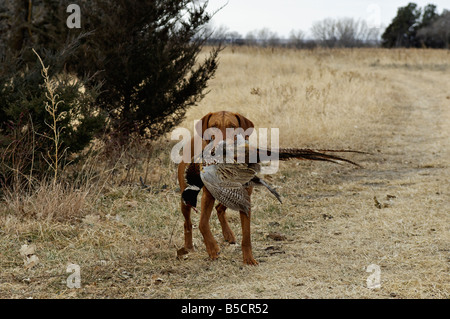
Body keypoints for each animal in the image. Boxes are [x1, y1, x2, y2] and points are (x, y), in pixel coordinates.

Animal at [178, 111, 258, 266]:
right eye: (213, 126)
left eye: (232, 126)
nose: (221, 148)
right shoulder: (208, 195)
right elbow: (203, 223)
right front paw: (212, 248)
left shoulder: (244, 197)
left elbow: (246, 234)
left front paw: (248, 258)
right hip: (186, 197)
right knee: (187, 223)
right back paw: (189, 246)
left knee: (220, 208)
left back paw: (228, 234)